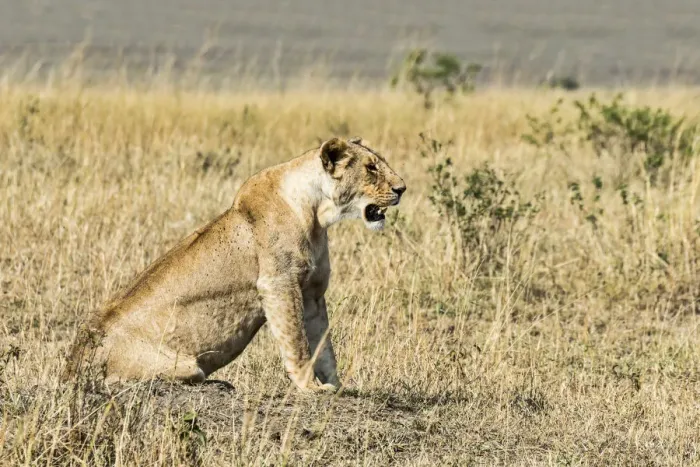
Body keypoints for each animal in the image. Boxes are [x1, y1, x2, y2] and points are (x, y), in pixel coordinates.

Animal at [63, 137, 406, 392]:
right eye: (371, 168)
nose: (402, 189)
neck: (317, 212)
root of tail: (73, 360)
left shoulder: (312, 292)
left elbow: (324, 346)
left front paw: (336, 386)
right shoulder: (279, 284)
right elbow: (297, 342)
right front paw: (310, 388)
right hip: (184, 366)